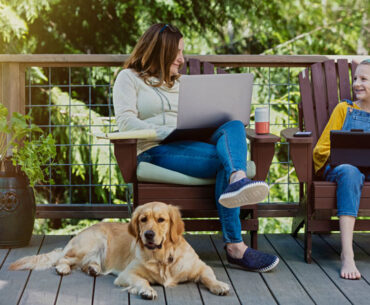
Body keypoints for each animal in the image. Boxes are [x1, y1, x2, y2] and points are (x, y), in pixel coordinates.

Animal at [9, 201, 228, 298]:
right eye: (143, 219)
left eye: (161, 220)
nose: (148, 234)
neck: (162, 257)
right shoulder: (127, 274)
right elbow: (141, 280)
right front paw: (147, 290)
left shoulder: (201, 267)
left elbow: (209, 276)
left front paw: (219, 285)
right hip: (94, 242)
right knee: (63, 259)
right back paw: (64, 268)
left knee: (85, 264)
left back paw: (93, 269)